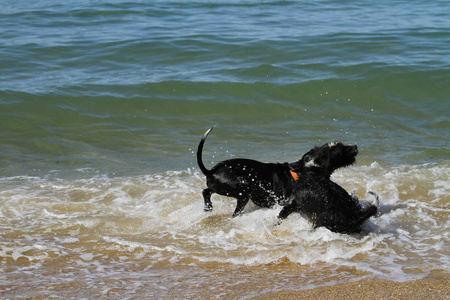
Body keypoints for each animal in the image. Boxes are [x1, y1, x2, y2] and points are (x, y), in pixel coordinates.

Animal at [197, 126, 358, 218]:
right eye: (339, 150)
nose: (355, 146)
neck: (304, 170)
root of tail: (211, 171)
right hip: (242, 192)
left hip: (221, 188)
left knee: (206, 191)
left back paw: (208, 207)